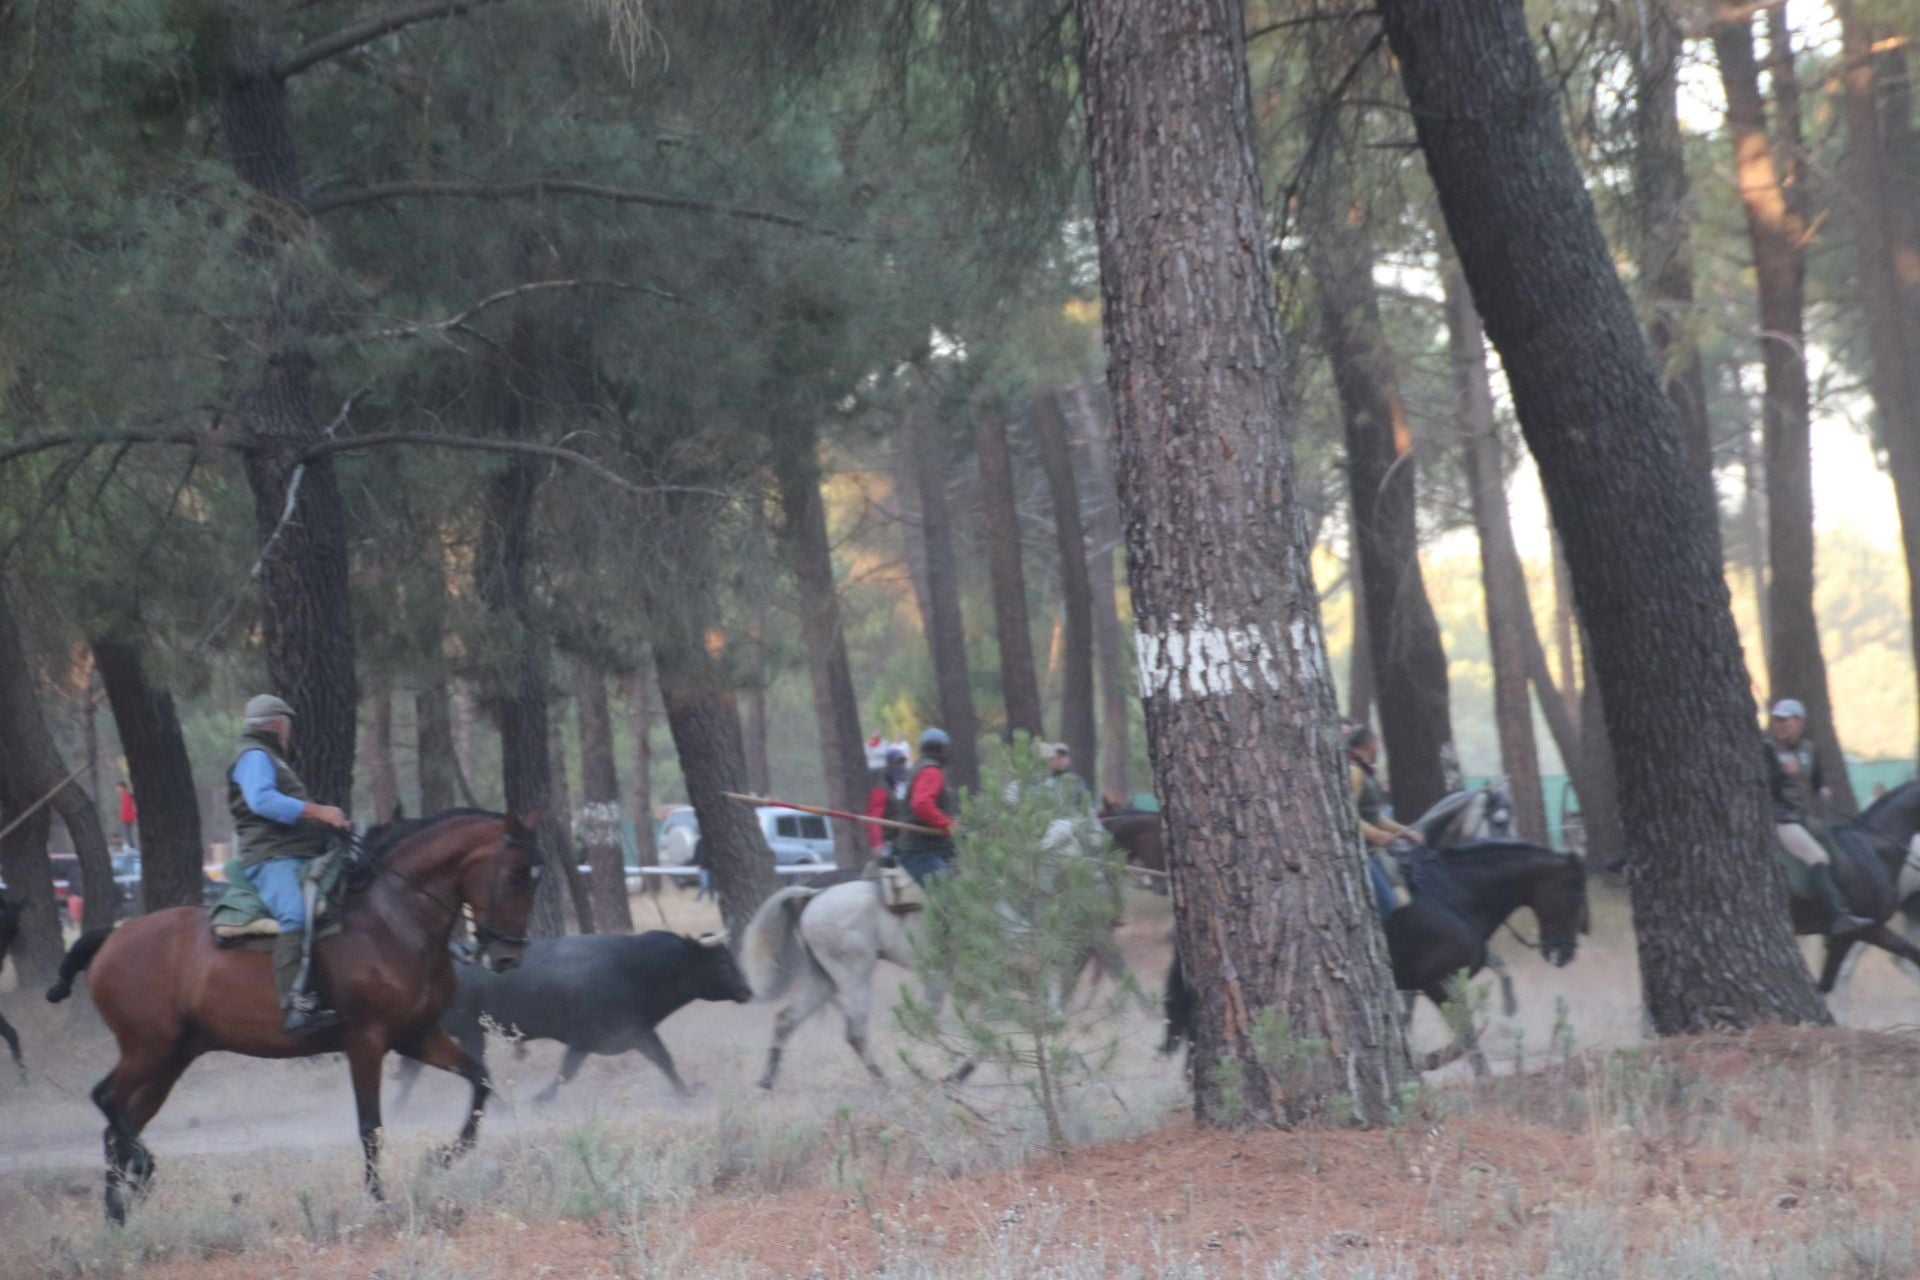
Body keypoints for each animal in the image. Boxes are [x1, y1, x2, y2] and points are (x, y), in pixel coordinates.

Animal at [45, 809, 541, 1220]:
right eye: (516, 874)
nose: (509, 957)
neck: (392, 919)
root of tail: (113, 937)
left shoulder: (417, 1035)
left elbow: (480, 1081)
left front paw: (440, 1157)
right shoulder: (367, 1039)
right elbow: (371, 1126)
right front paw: (378, 1200)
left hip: (170, 1059)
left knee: (118, 1128)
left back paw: (118, 1216)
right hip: (147, 1048)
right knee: (106, 1099)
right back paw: (141, 1173)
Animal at [389, 924, 748, 1105]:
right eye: (721, 962)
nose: (747, 990)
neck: (635, 968)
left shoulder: (636, 1032)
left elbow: (664, 1060)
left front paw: (686, 1093)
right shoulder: (586, 1037)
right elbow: (567, 1072)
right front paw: (540, 1098)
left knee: (412, 1070)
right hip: (469, 1029)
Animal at [1152, 844, 1589, 1074]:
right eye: (1575, 893)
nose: (1565, 952)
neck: (1454, 896)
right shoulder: (1441, 983)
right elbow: (1466, 1040)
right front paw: (1433, 1063)